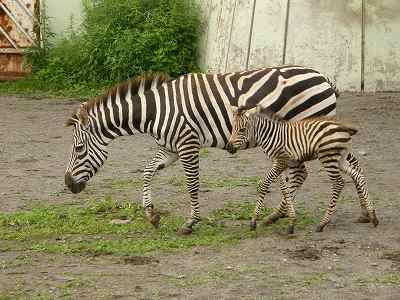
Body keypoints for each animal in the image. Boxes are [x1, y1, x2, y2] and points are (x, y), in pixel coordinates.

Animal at [65, 66, 338, 234]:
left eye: (78, 148)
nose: (68, 185)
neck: (155, 111)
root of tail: (323, 77)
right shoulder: (170, 148)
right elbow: (147, 171)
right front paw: (151, 214)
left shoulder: (188, 144)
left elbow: (192, 184)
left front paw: (191, 222)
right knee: (300, 174)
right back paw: (277, 215)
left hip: (302, 132)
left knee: (302, 173)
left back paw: (281, 215)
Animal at [227, 108, 380, 234]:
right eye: (233, 128)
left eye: (242, 130)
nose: (229, 147)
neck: (271, 135)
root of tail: (343, 127)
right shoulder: (280, 162)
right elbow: (284, 189)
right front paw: (290, 222)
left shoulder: (281, 161)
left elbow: (265, 184)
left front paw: (253, 221)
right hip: (340, 158)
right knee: (358, 176)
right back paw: (373, 216)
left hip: (328, 157)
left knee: (338, 183)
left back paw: (323, 223)